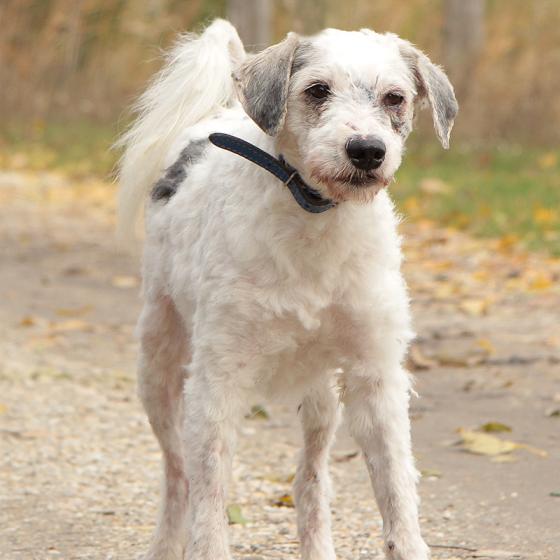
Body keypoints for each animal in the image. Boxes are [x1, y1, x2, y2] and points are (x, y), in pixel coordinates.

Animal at [117, 19, 457, 560]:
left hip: (322, 397)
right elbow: (209, 497)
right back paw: (166, 542)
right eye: (317, 90)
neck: (313, 216)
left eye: (395, 98)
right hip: (158, 365)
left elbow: (396, 490)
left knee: (310, 478)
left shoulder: (375, 375)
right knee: (178, 474)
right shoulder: (218, 380)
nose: (367, 150)